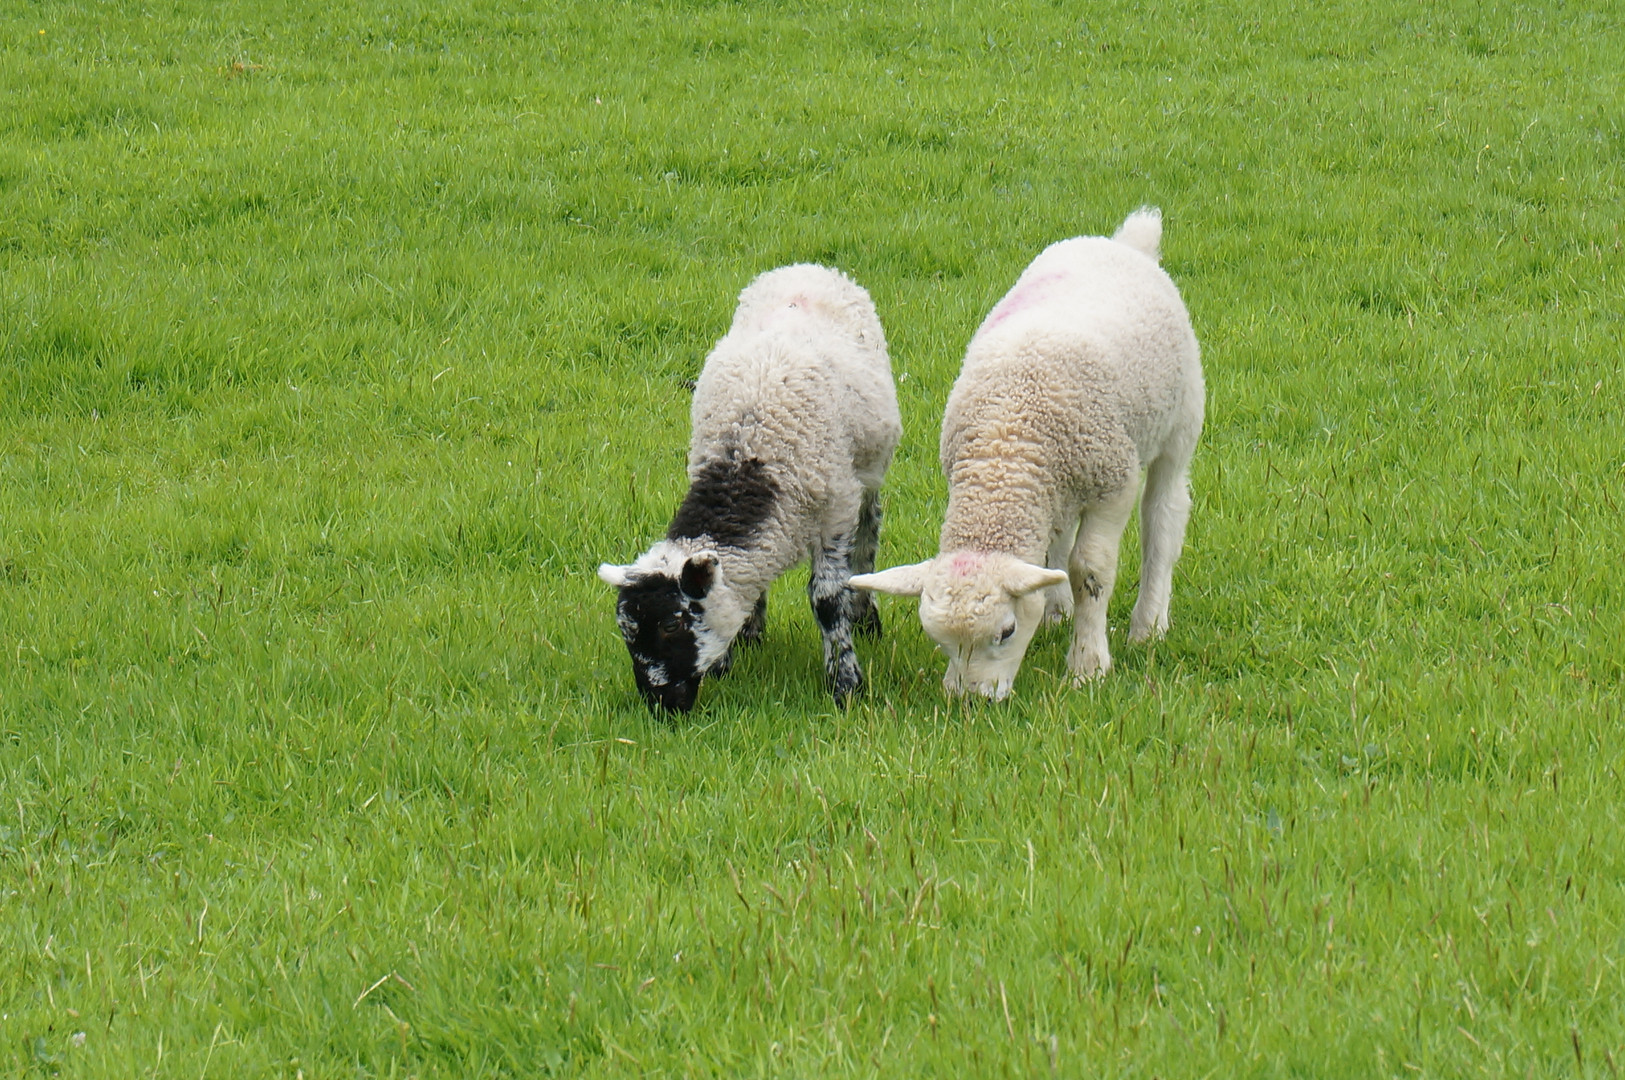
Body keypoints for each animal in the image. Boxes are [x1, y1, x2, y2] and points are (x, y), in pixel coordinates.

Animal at [598, 264, 902, 713]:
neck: (747, 456)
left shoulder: (834, 512)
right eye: (626, 631)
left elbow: (827, 599)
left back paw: (865, 615)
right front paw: (738, 646)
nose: (661, 705)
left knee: (869, 530)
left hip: (868, 470)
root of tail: (808, 266)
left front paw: (845, 683)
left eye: (671, 624)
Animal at [849, 208, 1203, 700]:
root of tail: (1124, 242)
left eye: (1006, 632)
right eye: (938, 641)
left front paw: (1088, 666)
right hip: (1064, 484)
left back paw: (1148, 624)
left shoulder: (1113, 484)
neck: (1004, 449)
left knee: (1164, 516)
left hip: (1179, 419)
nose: (971, 701)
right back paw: (1057, 609)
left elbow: (1091, 572)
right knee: (1060, 535)